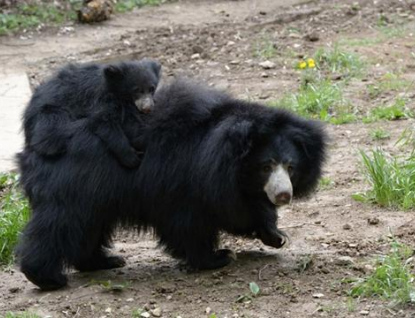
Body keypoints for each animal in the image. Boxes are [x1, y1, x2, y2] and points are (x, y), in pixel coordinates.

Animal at [16, 79, 326, 290]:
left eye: (290, 166)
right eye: (266, 166)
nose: (283, 195)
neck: (224, 159)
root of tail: (39, 142)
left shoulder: (233, 185)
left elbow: (242, 208)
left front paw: (275, 235)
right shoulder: (183, 183)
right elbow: (190, 225)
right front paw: (217, 257)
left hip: (94, 195)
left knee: (87, 228)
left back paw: (103, 262)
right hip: (74, 189)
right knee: (59, 225)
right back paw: (49, 278)